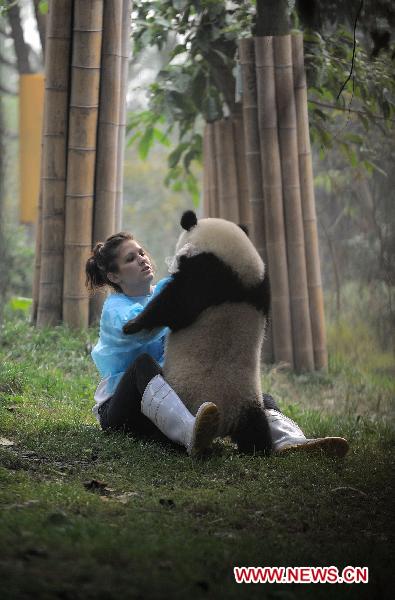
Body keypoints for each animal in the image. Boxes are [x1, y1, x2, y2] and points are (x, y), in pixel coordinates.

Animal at [123, 213, 272, 452]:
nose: (172, 264)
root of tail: (225, 421)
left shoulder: (202, 278)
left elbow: (171, 305)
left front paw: (132, 325)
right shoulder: (261, 287)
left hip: (187, 393)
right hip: (248, 400)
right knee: (256, 429)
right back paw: (260, 448)